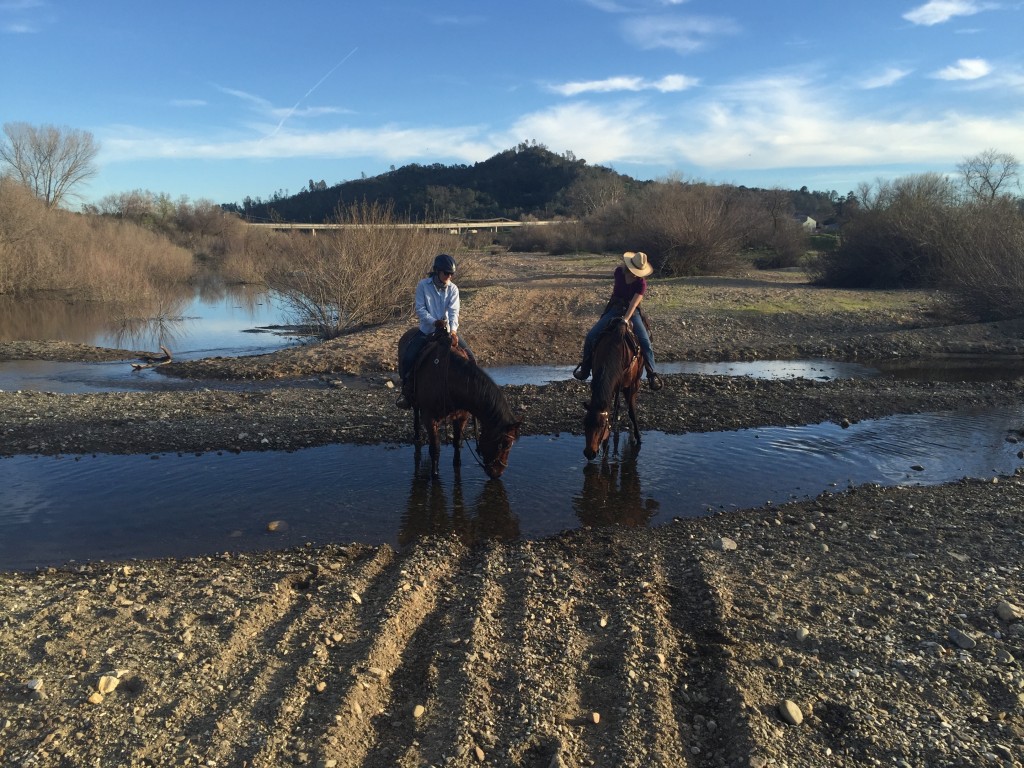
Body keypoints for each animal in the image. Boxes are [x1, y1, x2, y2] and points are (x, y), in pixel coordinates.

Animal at [393, 331, 520, 481]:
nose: (498, 473)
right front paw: (435, 475)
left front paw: (457, 465)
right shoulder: (429, 418)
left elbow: (457, 443)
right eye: (502, 444)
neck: (449, 378)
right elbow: (435, 448)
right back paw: (417, 437)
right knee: (415, 414)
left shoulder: (462, 416)